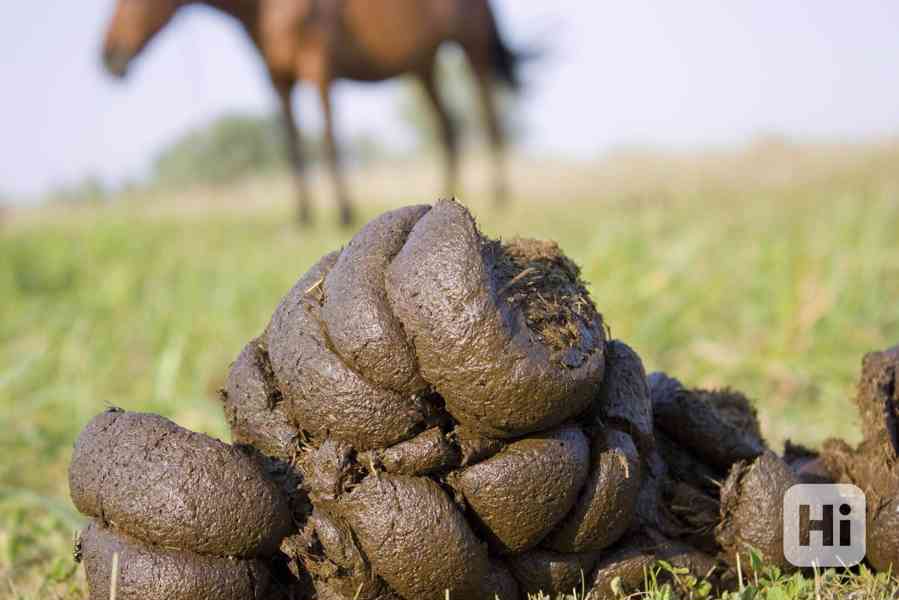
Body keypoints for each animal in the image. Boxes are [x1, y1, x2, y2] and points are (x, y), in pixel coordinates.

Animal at [100, 0, 520, 225]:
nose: (107, 55)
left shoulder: (318, 65)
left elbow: (329, 139)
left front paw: (343, 212)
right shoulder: (278, 79)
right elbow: (293, 146)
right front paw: (303, 217)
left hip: (472, 48)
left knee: (491, 120)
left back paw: (499, 196)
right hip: (422, 65)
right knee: (449, 128)